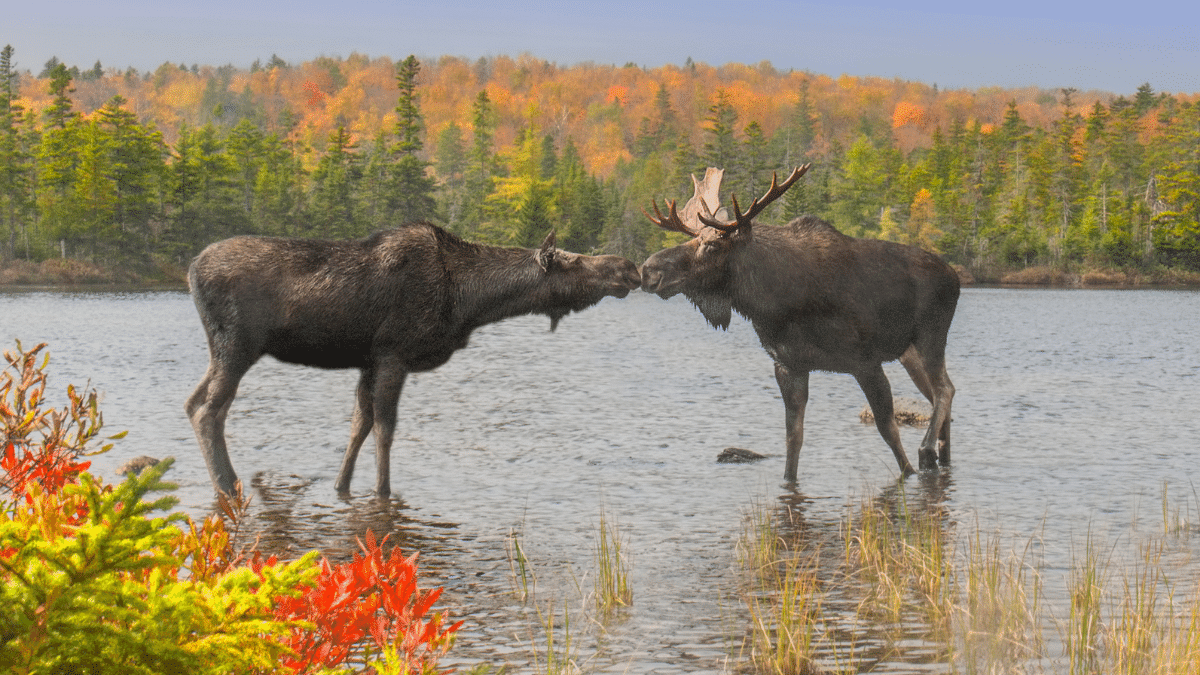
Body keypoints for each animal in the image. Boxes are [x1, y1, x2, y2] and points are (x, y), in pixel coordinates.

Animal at [187, 223, 643, 497]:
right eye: (573, 261)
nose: (630, 268)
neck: (469, 300)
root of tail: (190, 269)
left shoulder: (369, 361)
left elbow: (358, 425)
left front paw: (341, 486)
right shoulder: (394, 354)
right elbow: (385, 430)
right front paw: (383, 491)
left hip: (221, 350)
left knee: (194, 404)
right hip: (237, 346)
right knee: (209, 411)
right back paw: (227, 485)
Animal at [643, 163, 960, 478]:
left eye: (711, 245)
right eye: (692, 239)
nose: (648, 270)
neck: (775, 304)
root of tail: (955, 276)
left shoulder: (866, 362)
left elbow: (889, 432)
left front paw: (909, 470)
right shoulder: (788, 365)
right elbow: (793, 439)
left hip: (931, 335)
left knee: (945, 390)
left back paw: (927, 450)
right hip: (907, 353)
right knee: (938, 395)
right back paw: (942, 455)